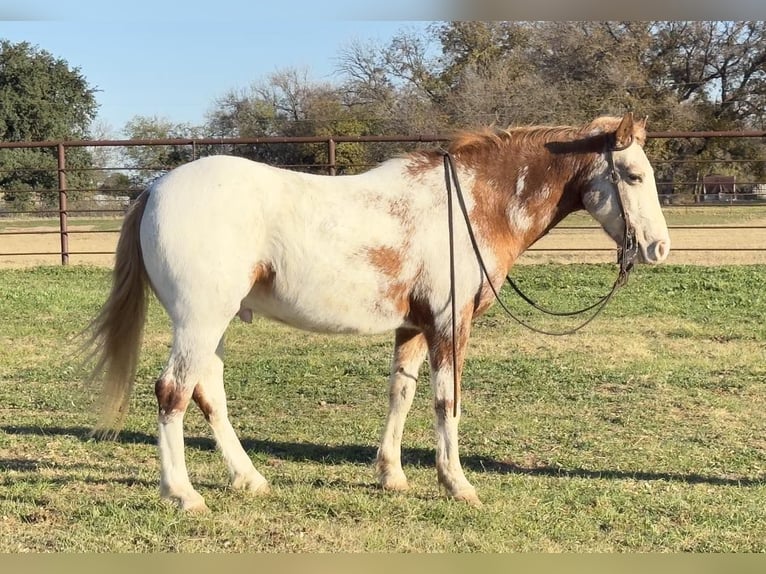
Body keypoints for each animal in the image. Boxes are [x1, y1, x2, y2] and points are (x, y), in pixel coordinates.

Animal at [85, 112, 672, 512]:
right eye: (634, 176)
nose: (659, 248)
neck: (469, 204)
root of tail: (156, 189)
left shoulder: (413, 327)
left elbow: (402, 395)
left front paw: (392, 475)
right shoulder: (450, 325)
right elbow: (445, 402)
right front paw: (457, 483)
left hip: (213, 325)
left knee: (208, 395)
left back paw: (248, 479)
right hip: (199, 321)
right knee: (172, 393)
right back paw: (183, 494)